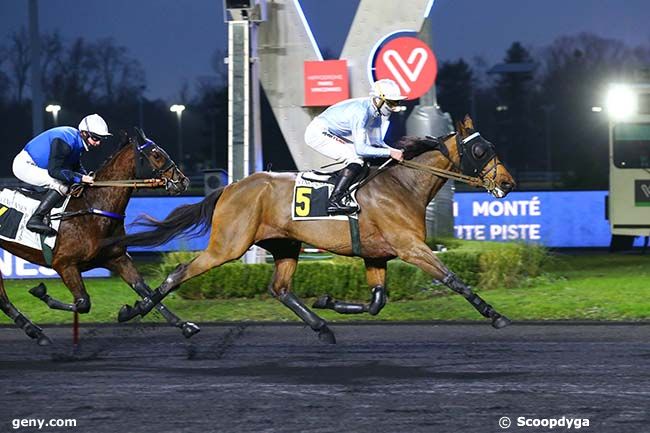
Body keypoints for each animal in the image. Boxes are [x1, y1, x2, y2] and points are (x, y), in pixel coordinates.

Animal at [0, 128, 197, 344]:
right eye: (156, 155)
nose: (183, 181)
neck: (94, 210)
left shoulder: (117, 258)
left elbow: (145, 290)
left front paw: (182, 324)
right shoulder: (64, 264)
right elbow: (83, 303)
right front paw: (41, 293)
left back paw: (35, 331)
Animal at [114, 115, 512, 344]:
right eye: (480, 150)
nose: (507, 183)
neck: (402, 185)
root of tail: (230, 187)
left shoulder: (377, 255)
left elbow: (376, 302)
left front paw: (328, 300)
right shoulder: (410, 247)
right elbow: (453, 279)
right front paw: (495, 315)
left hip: (284, 245)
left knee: (280, 289)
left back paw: (322, 325)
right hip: (228, 246)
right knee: (178, 273)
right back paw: (138, 312)